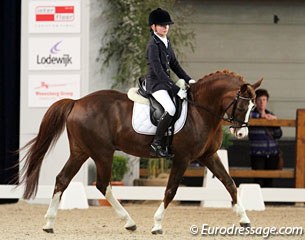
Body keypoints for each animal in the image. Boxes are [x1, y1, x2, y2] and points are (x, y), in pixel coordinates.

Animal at [18, 69, 262, 234]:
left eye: (253, 107)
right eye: (243, 106)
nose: (241, 134)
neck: (201, 112)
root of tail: (77, 102)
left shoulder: (208, 156)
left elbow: (230, 183)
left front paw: (245, 220)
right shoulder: (182, 158)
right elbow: (170, 190)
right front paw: (157, 224)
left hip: (81, 152)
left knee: (63, 179)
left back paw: (49, 223)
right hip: (102, 152)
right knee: (102, 184)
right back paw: (129, 221)